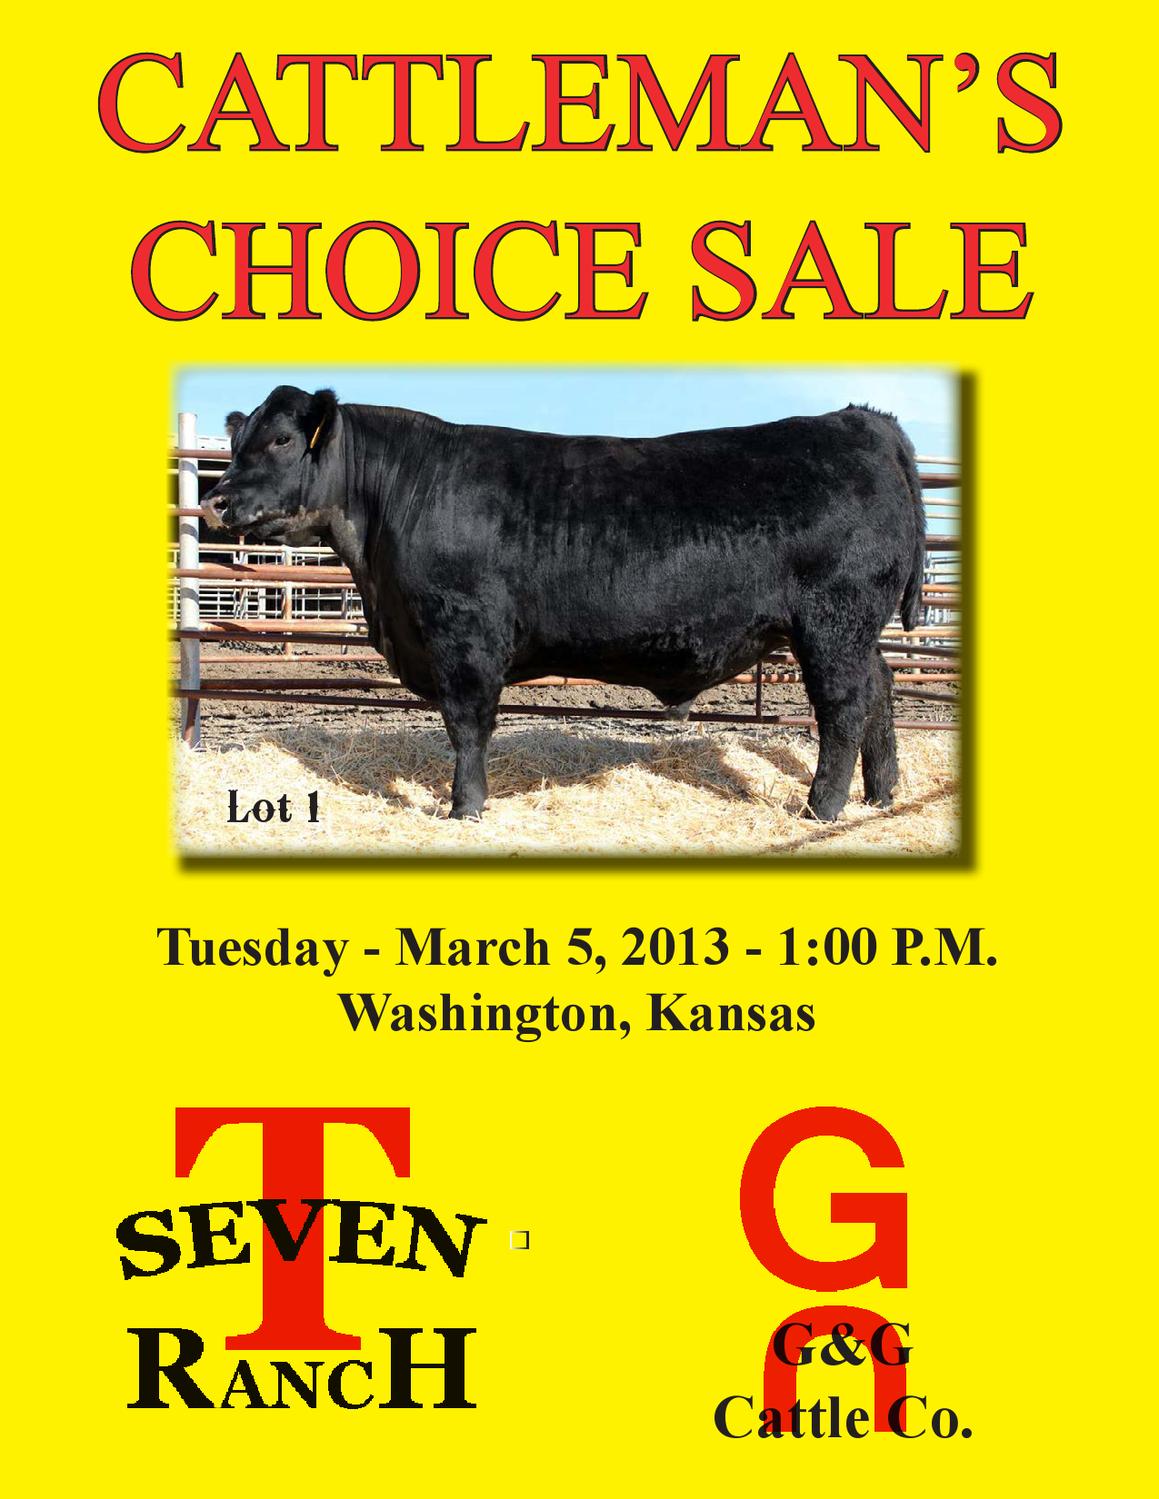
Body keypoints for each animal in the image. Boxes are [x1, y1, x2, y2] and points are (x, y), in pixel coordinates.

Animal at [202, 386, 925, 822]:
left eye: (281, 441)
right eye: (238, 442)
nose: (214, 500)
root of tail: (859, 420)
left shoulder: (464, 634)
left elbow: (467, 724)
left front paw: (465, 809)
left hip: (833, 621)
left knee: (844, 707)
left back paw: (821, 808)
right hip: (856, 629)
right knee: (882, 689)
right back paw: (881, 793)